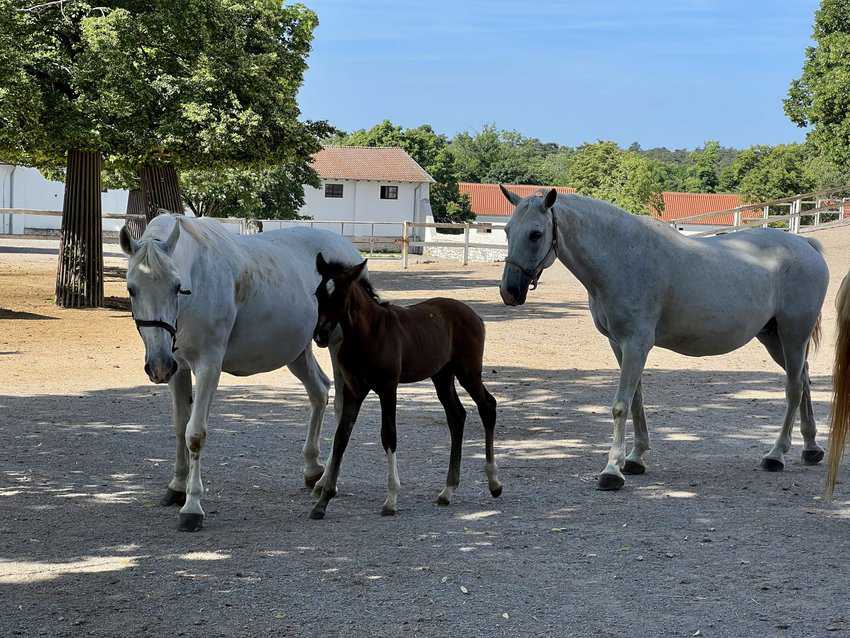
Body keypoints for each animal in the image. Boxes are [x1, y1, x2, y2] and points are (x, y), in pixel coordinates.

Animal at [117, 218, 360, 532]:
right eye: (131, 289)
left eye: (176, 287)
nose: (158, 366)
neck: (197, 279)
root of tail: (348, 250)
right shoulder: (178, 368)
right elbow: (180, 427)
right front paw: (177, 487)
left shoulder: (208, 365)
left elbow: (195, 433)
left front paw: (192, 507)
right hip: (296, 350)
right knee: (319, 391)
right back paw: (312, 470)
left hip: (337, 345)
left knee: (342, 407)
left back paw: (326, 482)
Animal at [308, 255, 500, 520]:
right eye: (318, 294)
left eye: (341, 296)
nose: (320, 336)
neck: (368, 334)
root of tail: (475, 316)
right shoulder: (353, 390)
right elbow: (340, 438)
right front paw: (322, 501)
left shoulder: (388, 388)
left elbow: (389, 435)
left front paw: (391, 500)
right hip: (442, 376)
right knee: (457, 416)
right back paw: (447, 491)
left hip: (468, 373)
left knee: (487, 406)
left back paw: (494, 483)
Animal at [496, 188, 828, 492]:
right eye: (508, 230)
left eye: (536, 234)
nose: (509, 291)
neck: (622, 256)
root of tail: (806, 245)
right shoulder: (620, 345)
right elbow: (636, 401)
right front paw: (635, 458)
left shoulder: (636, 344)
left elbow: (620, 405)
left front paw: (611, 471)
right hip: (774, 338)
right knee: (804, 379)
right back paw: (811, 448)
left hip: (793, 335)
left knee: (794, 388)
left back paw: (776, 454)